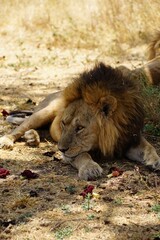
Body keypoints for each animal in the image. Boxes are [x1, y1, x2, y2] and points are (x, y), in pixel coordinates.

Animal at [0, 62, 159, 179]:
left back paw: (32, 137)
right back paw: (7, 141)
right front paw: (90, 169)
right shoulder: (71, 154)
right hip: (44, 112)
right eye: (63, 123)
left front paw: (155, 161)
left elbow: (149, 147)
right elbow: (83, 155)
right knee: (19, 128)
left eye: (80, 128)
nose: (60, 149)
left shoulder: (129, 138)